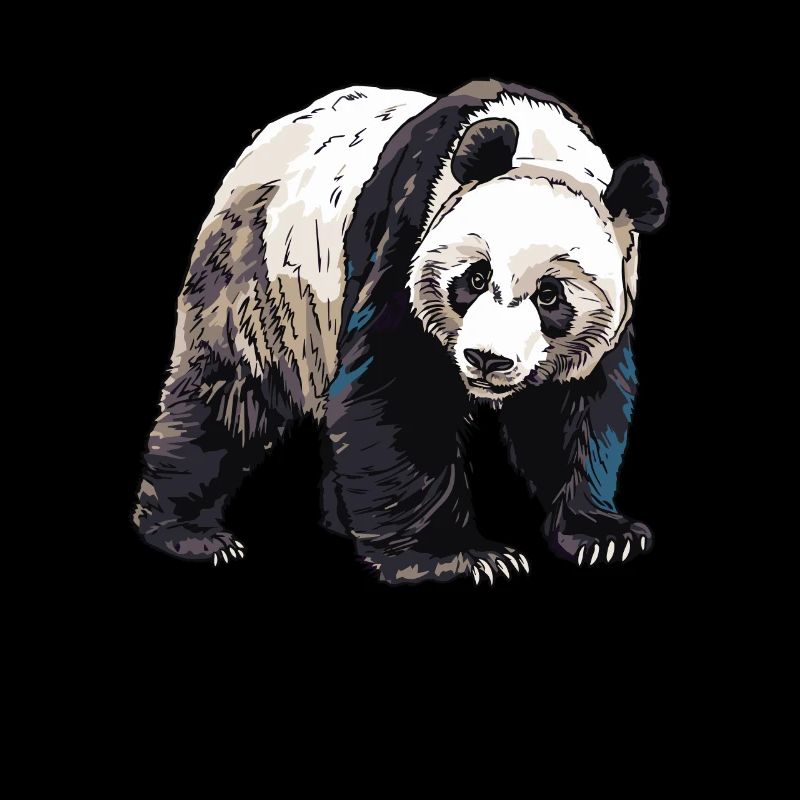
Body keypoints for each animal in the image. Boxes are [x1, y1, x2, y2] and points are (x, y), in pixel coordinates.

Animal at [133, 79, 668, 585]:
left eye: (550, 295)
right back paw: (189, 533)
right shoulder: (408, 233)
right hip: (264, 272)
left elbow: (572, 409)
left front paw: (603, 537)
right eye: (476, 278)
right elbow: (402, 392)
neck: (540, 145)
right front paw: (461, 559)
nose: (486, 359)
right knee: (232, 391)